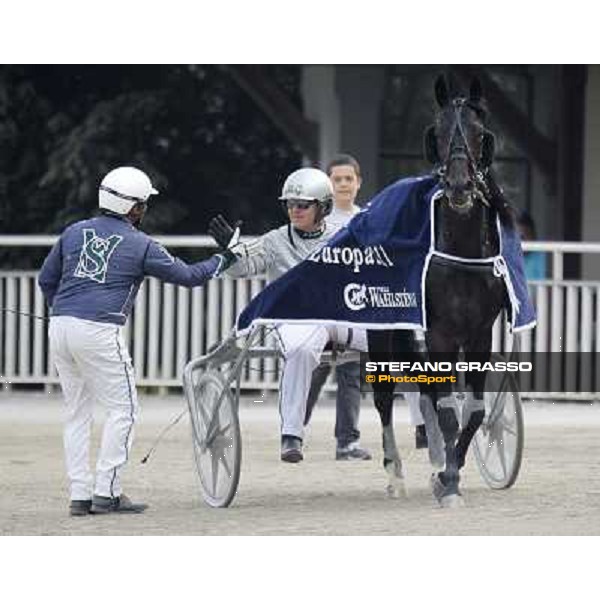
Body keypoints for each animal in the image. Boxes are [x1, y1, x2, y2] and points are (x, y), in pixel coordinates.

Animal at [368, 75, 512, 506]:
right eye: (439, 130)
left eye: (480, 132)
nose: (460, 186)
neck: (460, 250)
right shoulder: (441, 333)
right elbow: (448, 408)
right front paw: (449, 482)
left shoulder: (479, 334)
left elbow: (475, 410)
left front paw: (449, 469)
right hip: (382, 332)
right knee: (384, 397)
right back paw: (395, 473)